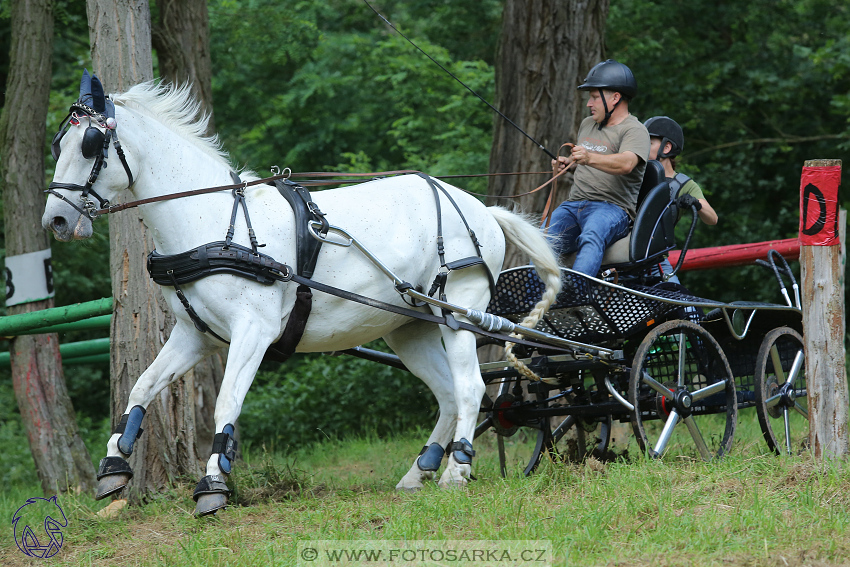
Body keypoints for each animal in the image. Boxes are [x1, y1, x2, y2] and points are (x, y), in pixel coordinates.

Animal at [41, 73, 556, 516]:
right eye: (59, 143)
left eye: (90, 145)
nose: (56, 221)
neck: (216, 222)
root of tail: (481, 207)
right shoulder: (193, 336)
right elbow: (142, 386)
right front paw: (114, 466)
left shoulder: (253, 331)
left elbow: (227, 402)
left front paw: (213, 485)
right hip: (409, 328)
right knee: (448, 393)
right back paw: (419, 472)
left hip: (458, 314)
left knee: (470, 388)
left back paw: (456, 470)